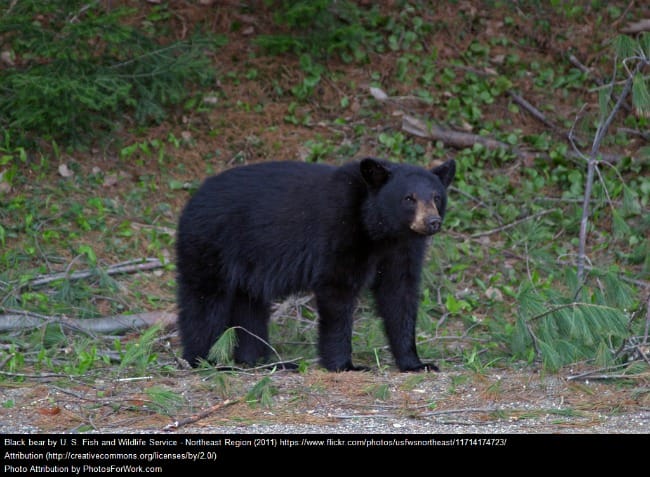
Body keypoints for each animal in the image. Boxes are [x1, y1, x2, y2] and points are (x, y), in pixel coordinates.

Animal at [175, 157, 454, 372]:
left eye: (436, 197)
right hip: (212, 244)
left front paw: (416, 363)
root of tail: (192, 199)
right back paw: (208, 361)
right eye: (409, 198)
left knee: (250, 306)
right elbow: (337, 292)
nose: (432, 222)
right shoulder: (339, 233)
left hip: (248, 265)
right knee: (205, 301)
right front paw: (345, 365)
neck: (379, 230)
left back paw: (265, 362)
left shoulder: (401, 250)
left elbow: (399, 295)